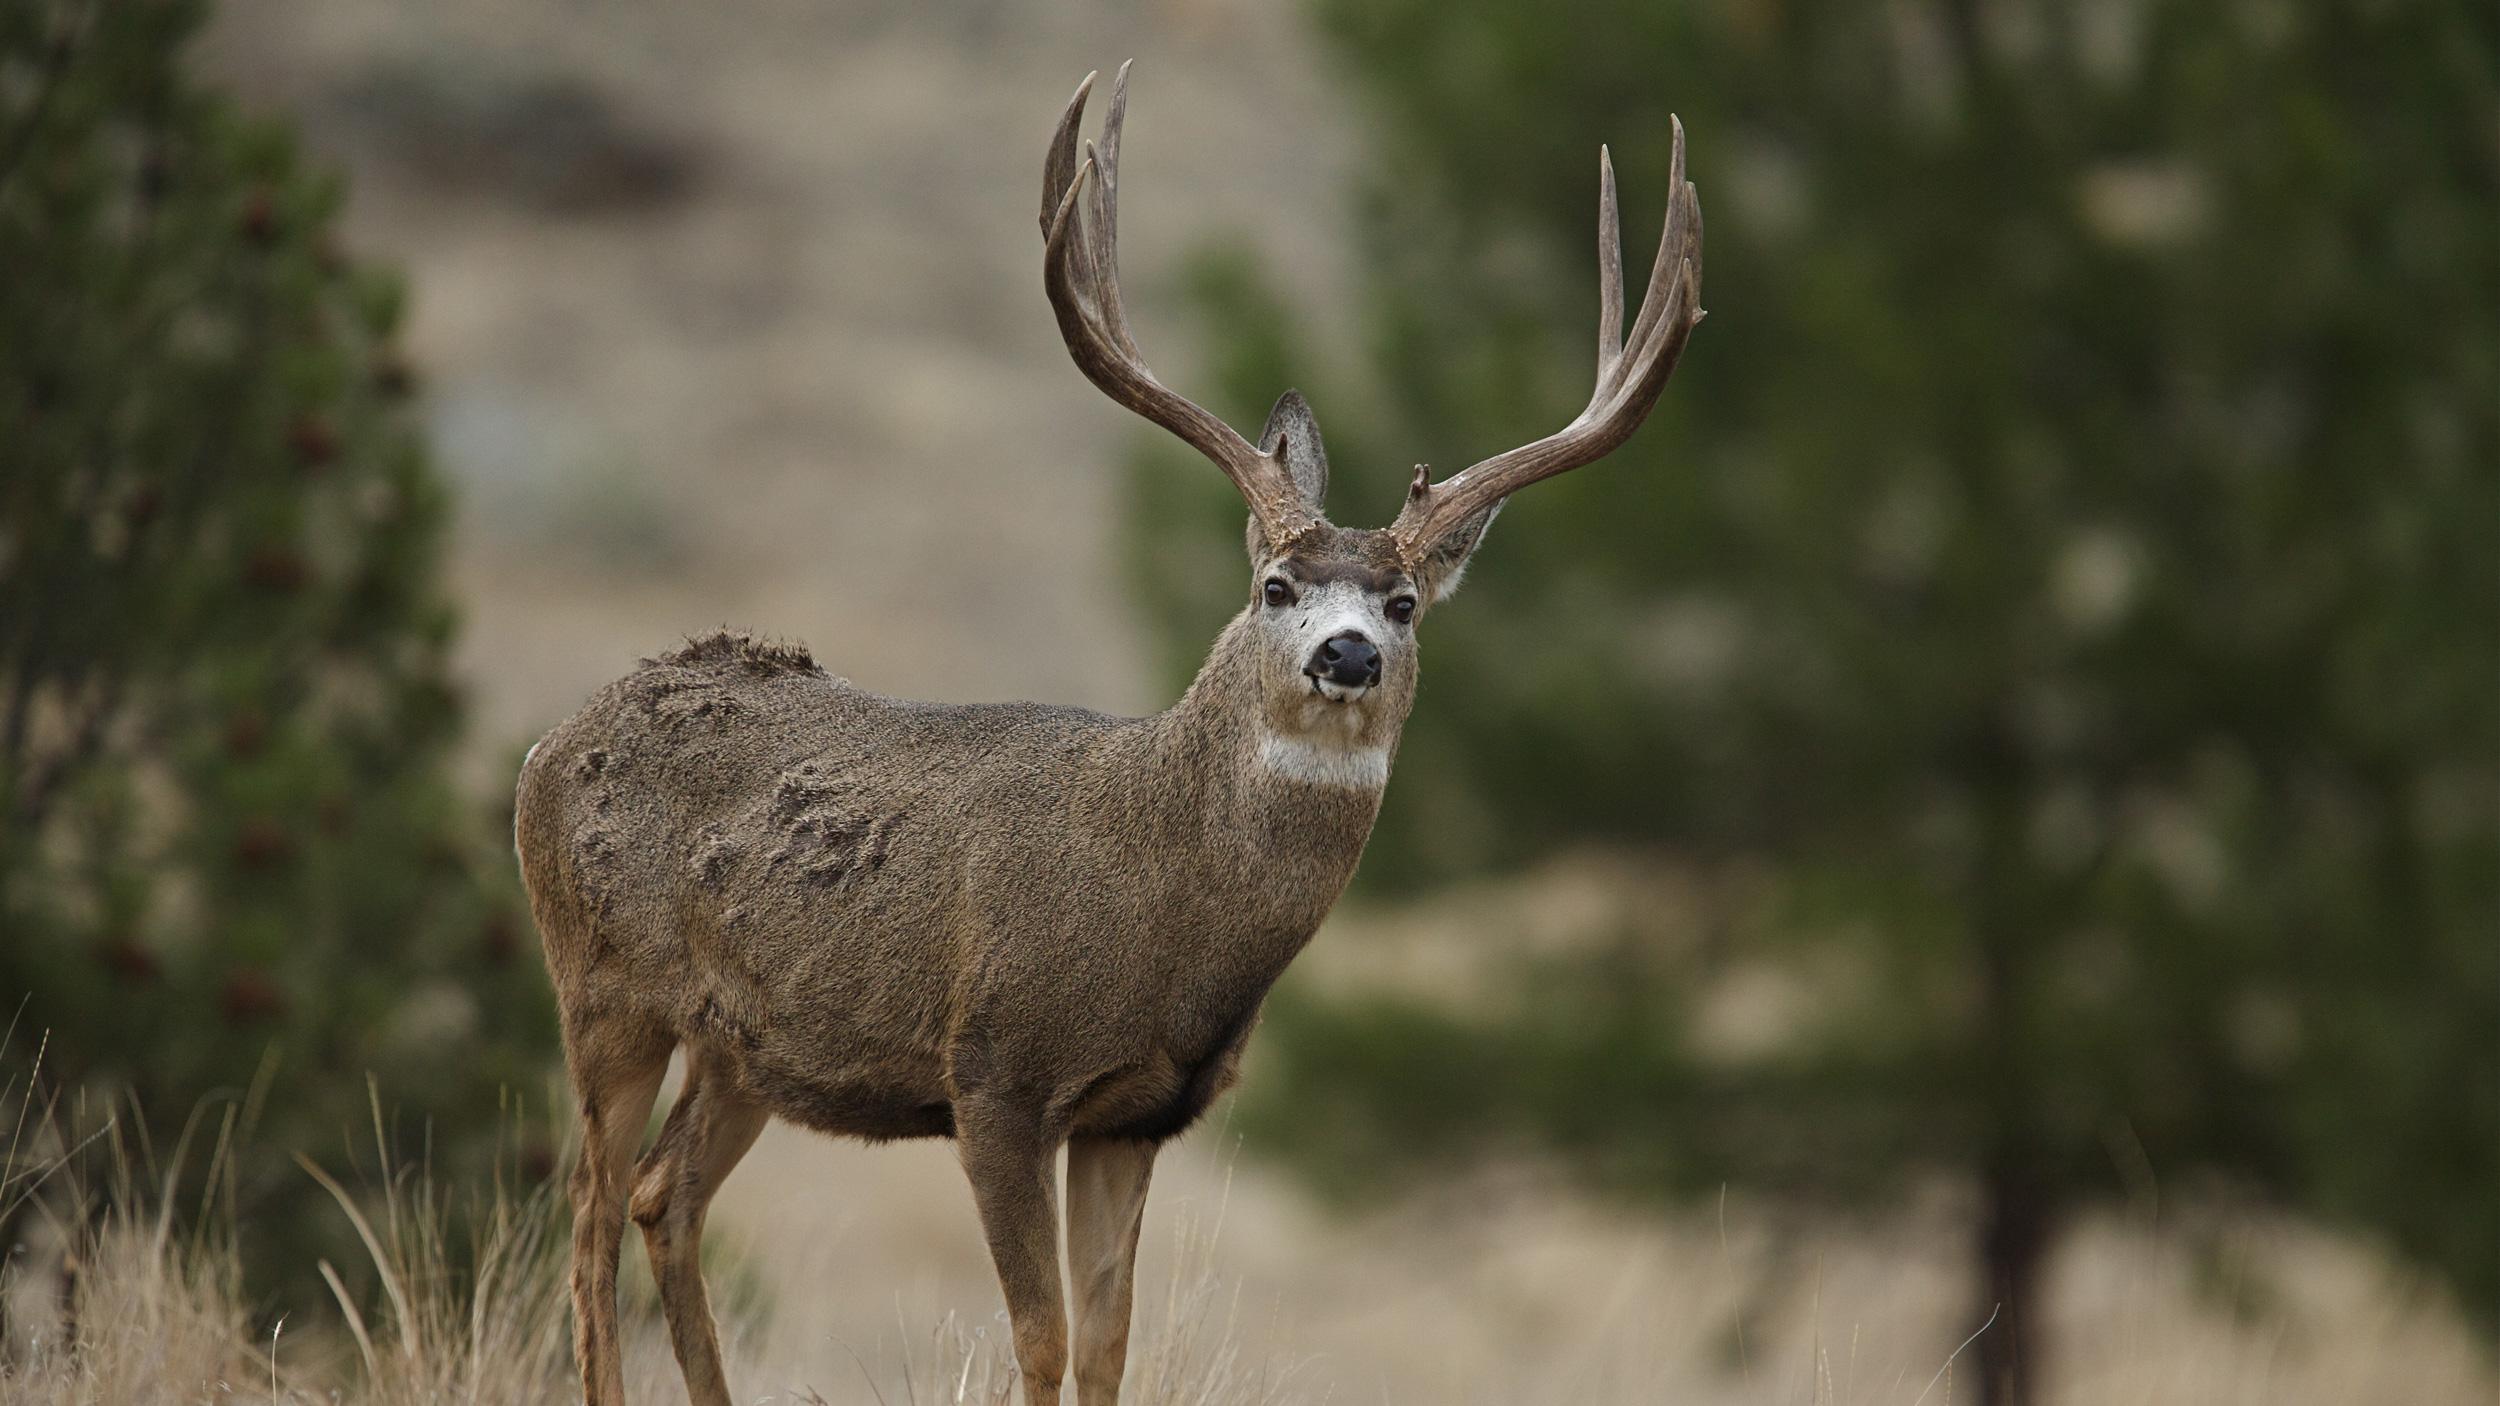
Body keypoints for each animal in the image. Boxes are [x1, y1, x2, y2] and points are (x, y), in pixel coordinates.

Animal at [513, 63, 1702, 1406]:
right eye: (1276, 587)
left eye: (1403, 602)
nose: (1346, 653)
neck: (1164, 908)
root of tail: (547, 746)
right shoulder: (995, 1074)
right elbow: (1037, 1334)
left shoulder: (1136, 1113)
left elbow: (1105, 1344)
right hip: (603, 985)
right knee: (588, 1214)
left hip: (743, 1049)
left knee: (663, 1195)